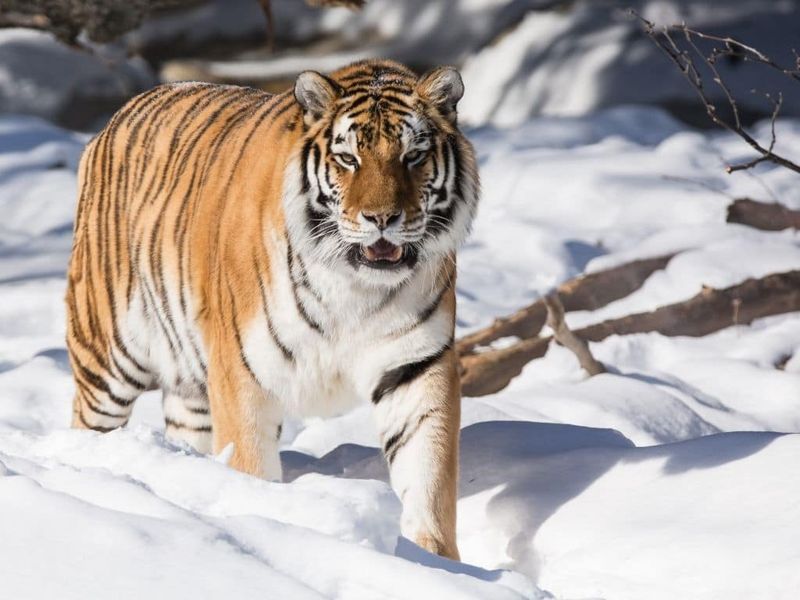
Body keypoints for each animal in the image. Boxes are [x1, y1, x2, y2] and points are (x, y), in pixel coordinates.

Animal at [65, 58, 478, 560]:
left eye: (413, 156)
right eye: (348, 159)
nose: (382, 219)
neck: (354, 288)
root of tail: (117, 117)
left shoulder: (416, 366)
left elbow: (428, 478)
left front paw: (435, 561)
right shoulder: (243, 375)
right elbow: (251, 464)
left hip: (190, 387)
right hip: (107, 360)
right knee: (88, 421)